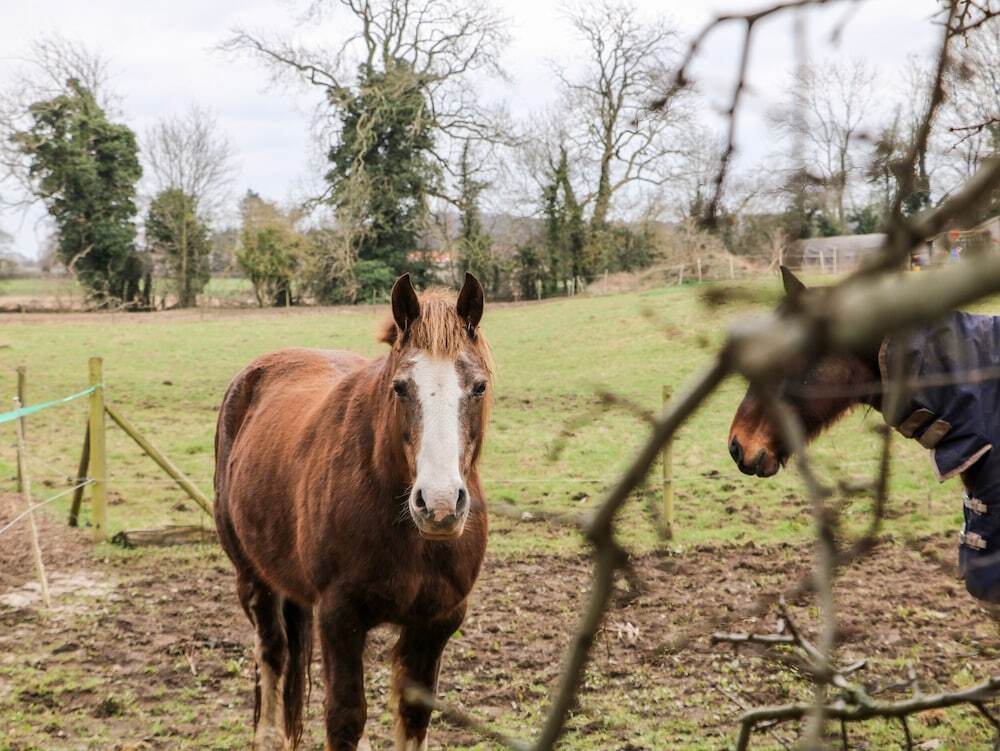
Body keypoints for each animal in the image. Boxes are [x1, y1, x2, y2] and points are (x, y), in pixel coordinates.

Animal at [214, 273, 493, 750]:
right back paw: (267, 734)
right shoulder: (339, 617)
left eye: (478, 387)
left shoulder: (436, 622)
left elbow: (414, 716)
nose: (439, 505)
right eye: (400, 386)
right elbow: (345, 717)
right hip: (253, 577)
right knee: (271, 650)